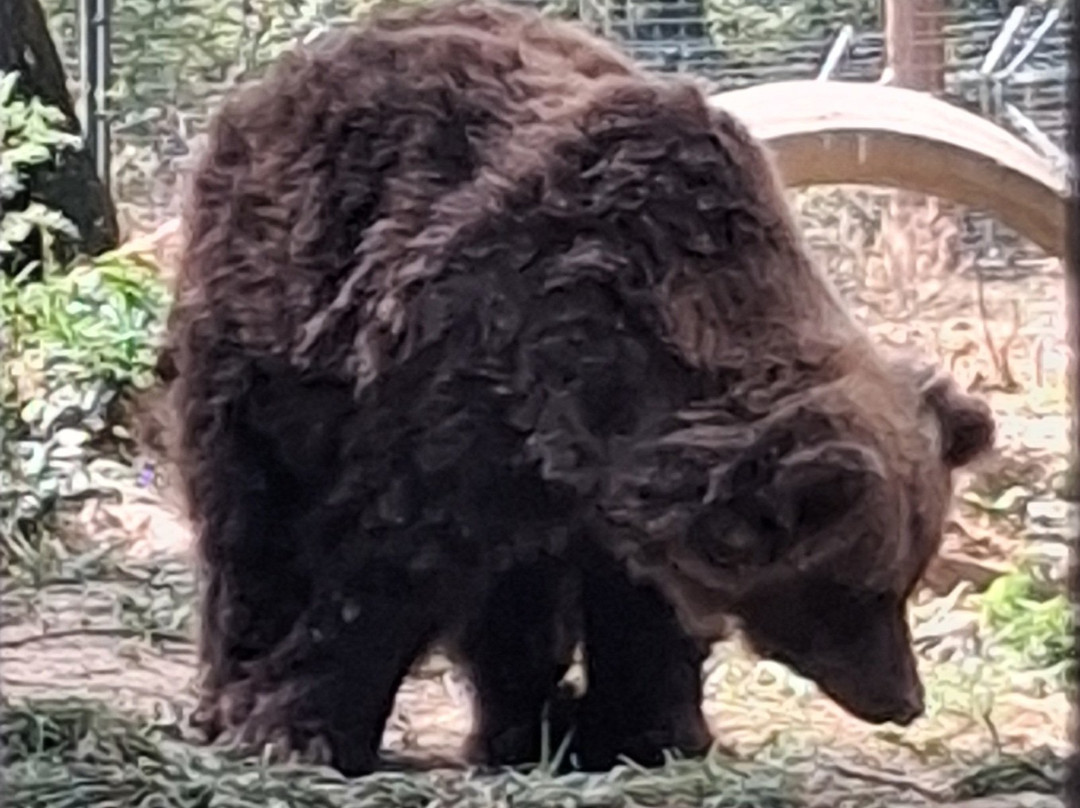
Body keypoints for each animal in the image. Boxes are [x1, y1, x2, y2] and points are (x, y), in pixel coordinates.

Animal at [158, 0, 995, 777]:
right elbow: (389, 563)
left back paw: (525, 725)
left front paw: (651, 731)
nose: (902, 700)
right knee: (249, 518)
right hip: (262, 334)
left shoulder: (613, 499)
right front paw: (298, 725)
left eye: (910, 574)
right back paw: (229, 687)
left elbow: (641, 617)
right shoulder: (451, 395)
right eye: (860, 588)